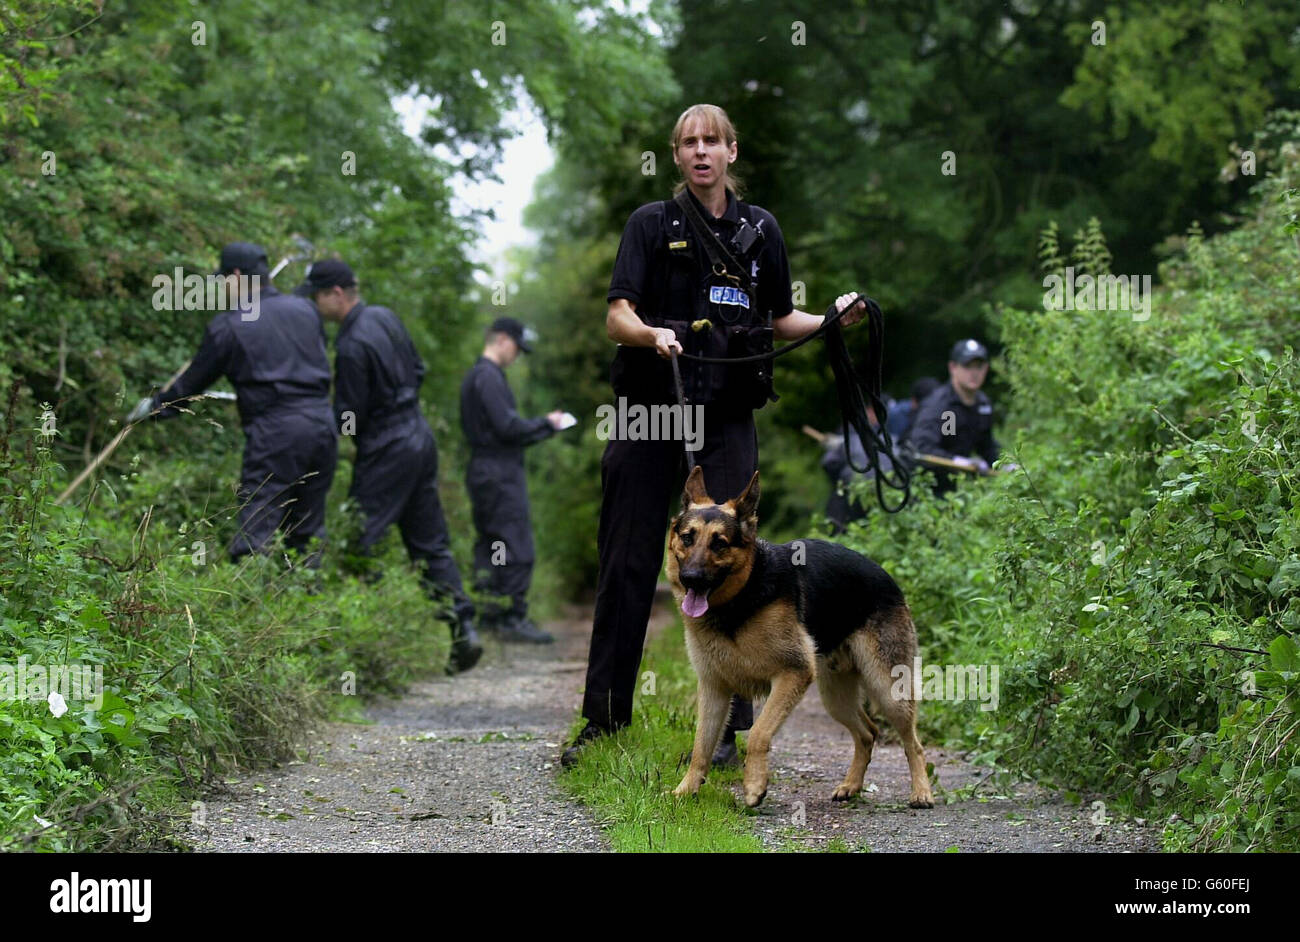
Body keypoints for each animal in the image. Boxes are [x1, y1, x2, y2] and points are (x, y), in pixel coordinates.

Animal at [665, 465, 930, 810]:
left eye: (719, 543)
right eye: (687, 538)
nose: (691, 579)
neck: (741, 597)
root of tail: (884, 574)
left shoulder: (792, 674)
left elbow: (758, 733)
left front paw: (754, 785)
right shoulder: (714, 689)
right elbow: (701, 746)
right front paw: (685, 791)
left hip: (887, 690)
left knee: (914, 743)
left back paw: (922, 792)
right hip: (835, 697)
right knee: (868, 733)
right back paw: (851, 786)